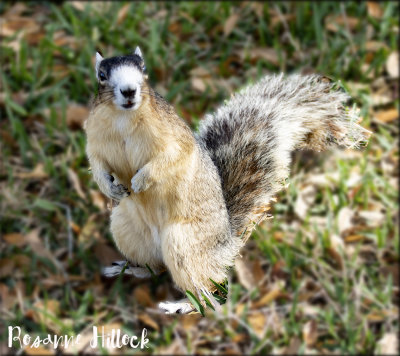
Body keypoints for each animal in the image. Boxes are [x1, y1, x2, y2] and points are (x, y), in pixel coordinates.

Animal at [85, 48, 372, 314]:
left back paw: (183, 306)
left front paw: (141, 180)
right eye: (102, 76)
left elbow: (171, 157)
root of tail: (223, 248)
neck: (124, 120)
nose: (129, 91)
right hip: (126, 228)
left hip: (183, 243)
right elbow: (96, 162)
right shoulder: (94, 139)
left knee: (204, 287)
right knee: (156, 268)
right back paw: (130, 270)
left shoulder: (174, 137)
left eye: (143, 70)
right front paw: (109, 186)